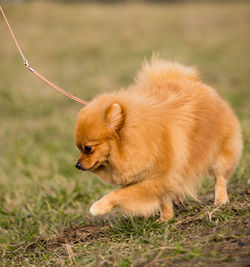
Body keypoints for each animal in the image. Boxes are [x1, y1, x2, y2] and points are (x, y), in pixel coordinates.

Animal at [74, 57, 242, 221]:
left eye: (88, 148)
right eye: (79, 148)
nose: (77, 165)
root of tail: (195, 82)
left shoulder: (158, 178)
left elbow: (121, 194)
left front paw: (98, 206)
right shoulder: (158, 178)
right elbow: (163, 200)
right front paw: (165, 219)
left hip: (221, 154)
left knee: (220, 178)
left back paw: (220, 200)